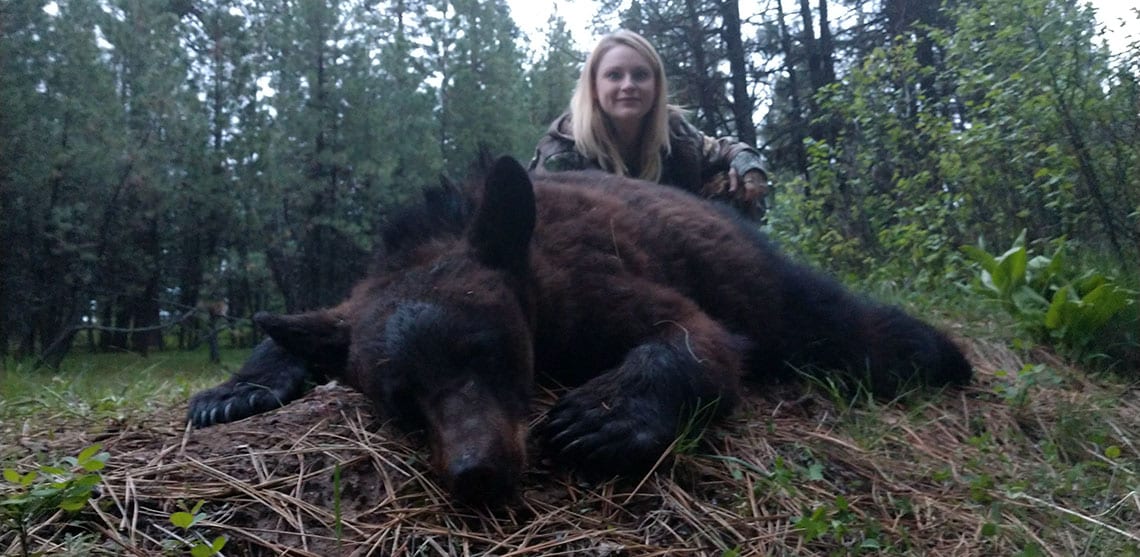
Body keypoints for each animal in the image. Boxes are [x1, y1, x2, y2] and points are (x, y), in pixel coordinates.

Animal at [188, 155, 972, 506]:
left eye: (488, 352)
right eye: (402, 398)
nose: (477, 471)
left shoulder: (591, 283)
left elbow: (698, 338)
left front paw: (601, 417)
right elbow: (304, 324)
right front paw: (234, 389)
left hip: (769, 286)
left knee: (848, 327)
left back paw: (945, 355)